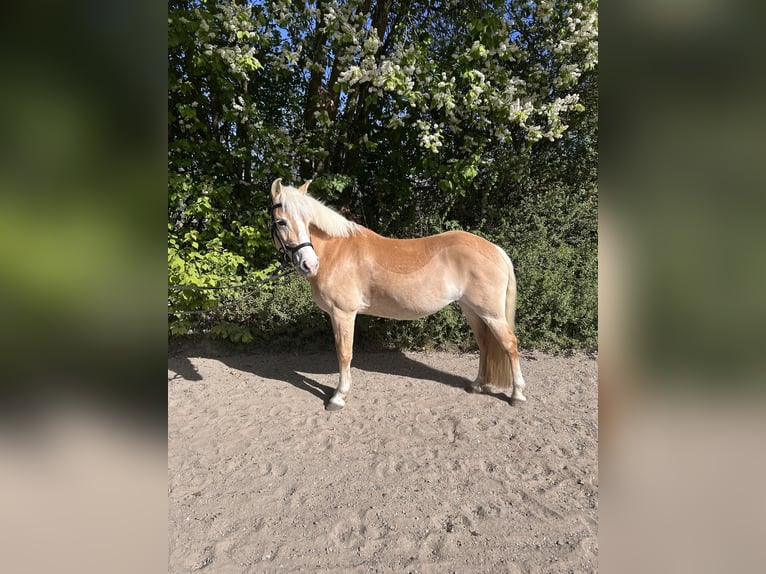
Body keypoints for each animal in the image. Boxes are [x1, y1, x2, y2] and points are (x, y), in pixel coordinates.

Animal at [269, 178, 527, 410]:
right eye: (281, 222)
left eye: (307, 222)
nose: (309, 265)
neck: (338, 252)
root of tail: (495, 249)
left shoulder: (343, 314)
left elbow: (344, 353)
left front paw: (338, 397)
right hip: (472, 310)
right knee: (484, 344)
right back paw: (476, 385)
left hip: (491, 314)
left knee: (510, 345)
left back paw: (518, 396)